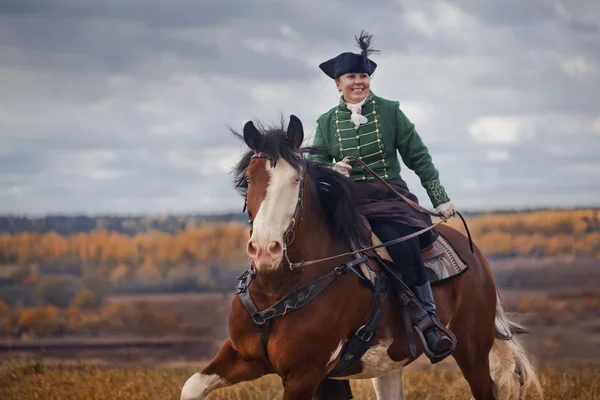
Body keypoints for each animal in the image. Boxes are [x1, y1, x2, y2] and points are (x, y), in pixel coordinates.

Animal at [179, 114, 544, 398]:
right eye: (250, 178)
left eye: (296, 179)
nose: (266, 250)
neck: (279, 289)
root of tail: (474, 253)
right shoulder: (243, 357)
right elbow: (192, 386)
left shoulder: (304, 374)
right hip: (391, 364)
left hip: (472, 350)